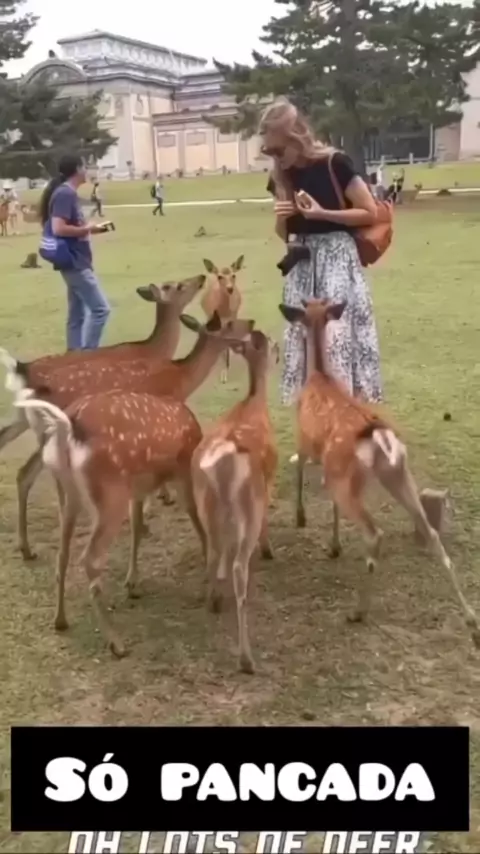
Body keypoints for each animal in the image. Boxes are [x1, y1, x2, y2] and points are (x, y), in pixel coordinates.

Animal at [0, 275, 206, 558]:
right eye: (177, 286)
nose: (202, 278)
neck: (155, 351)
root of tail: (22, 372)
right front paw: (162, 498)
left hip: (22, 419)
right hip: (48, 429)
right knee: (28, 472)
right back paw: (30, 547)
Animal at [14, 315, 255, 658]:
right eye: (230, 322)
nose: (251, 322)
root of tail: (68, 426)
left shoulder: (139, 485)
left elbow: (139, 525)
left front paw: (133, 582)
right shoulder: (184, 472)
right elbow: (198, 522)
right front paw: (207, 583)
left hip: (70, 492)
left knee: (62, 552)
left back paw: (59, 619)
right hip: (109, 495)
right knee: (89, 559)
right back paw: (116, 642)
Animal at [190, 330, 279, 674]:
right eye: (272, 344)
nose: (279, 353)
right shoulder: (267, 484)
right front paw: (269, 550)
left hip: (205, 505)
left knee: (213, 552)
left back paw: (213, 599)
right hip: (247, 507)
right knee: (240, 567)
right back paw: (246, 659)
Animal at [278, 297, 480, 648]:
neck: (319, 376)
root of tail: (381, 437)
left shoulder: (305, 441)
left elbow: (301, 470)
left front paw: (304, 521)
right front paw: (334, 545)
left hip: (351, 477)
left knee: (374, 533)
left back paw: (358, 612)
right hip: (397, 473)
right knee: (431, 532)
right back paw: (473, 625)